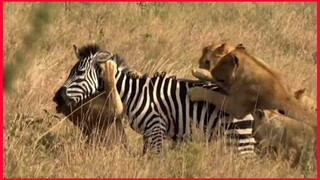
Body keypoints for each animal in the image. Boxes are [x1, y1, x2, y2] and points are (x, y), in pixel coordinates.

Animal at [53, 43, 256, 155]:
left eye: (79, 73)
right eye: (71, 72)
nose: (58, 97)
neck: (133, 94)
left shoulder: (155, 129)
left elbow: (156, 159)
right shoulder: (147, 134)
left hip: (239, 137)